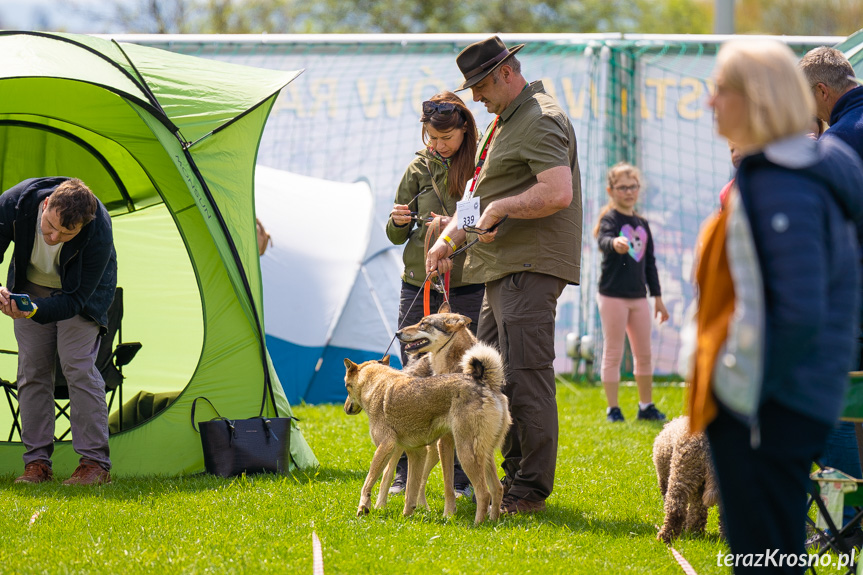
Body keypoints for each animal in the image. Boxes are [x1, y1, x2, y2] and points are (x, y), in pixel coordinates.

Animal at [342, 342, 510, 528]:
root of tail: (486, 384)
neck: (377, 384)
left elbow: (368, 482)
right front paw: (407, 516)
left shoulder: (385, 446)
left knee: (483, 493)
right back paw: (493, 521)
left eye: (346, 386)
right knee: (497, 489)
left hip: (465, 455)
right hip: (483, 456)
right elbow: (411, 490)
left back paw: (477, 525)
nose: (346, 408)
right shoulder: (416, 453)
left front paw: (363, 508)